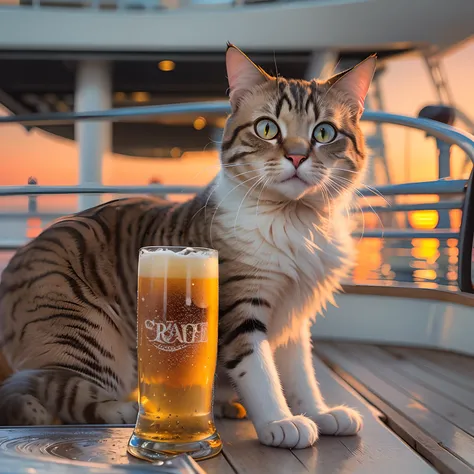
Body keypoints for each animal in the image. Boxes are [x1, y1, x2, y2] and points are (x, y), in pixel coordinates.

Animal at [0, 43, 374, 448]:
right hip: (91, 337)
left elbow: (300, 373)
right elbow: (259, 371)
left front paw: (320, 413)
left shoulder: (295, 315)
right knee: (56, 392)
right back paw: (124, 411)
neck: (298, 222)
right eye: (267, 128)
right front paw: (280, 420)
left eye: (324, 132)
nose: (296, 155)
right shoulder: (240, 307)